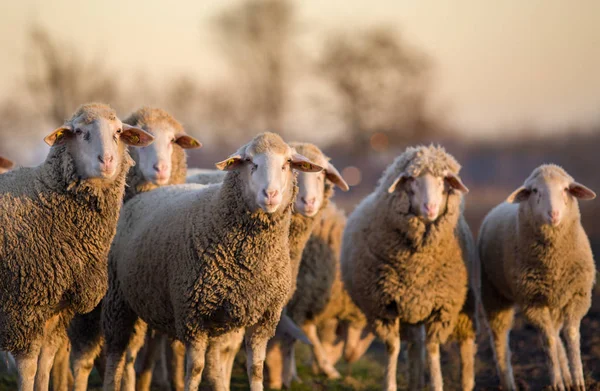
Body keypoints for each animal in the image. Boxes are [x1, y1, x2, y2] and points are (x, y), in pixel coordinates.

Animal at [0, 104, 154, 391]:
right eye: (80, 132)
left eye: (118, 132)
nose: (107, 161)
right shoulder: (24, 306)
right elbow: (28, 367)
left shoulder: (60, 309)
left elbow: (45, 363)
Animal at [102, 132, 324, 391]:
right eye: (250, 162)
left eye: (286, 163)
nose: (271, 195)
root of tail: (143, 196)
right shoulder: (192, 315)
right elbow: (195, 369)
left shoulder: (264, 318)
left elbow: (255, 370)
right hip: (118, 300)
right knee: (117, 354)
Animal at [342, 145, 478, 391]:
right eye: (412, 179)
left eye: (443, 180)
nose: (430, 207)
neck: (418, 267)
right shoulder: (383, 307)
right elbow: (393, 347)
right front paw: (390, 385)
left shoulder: (441, 308)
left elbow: (433, 349)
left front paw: (437, 384)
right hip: (410, 310)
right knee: (415, 344)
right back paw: (415, 382)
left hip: (463, 300)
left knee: (463, 341)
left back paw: (466, 381)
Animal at [478, 164, 596, 390]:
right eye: (534, 191)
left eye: (566, 189)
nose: (554, 214)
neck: (554, 264)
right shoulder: (533, 302)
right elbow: (548, 341)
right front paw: (557, 382)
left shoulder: (576, 296)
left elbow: (571, 335)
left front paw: (577, 380)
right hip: (493, 294)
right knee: (500, 339)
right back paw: (509, 383)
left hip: (554, 301)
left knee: (557, 334)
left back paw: (567, 375)